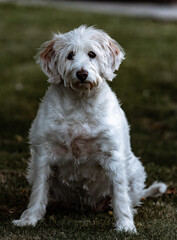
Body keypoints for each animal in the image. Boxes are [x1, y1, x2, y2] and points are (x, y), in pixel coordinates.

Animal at [13, 25, 167, 232]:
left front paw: (125, 225)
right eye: (70, 55)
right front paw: (29, 219)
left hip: (135, 169)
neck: (80, 102)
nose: (82, 74)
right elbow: (38, 190)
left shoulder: (113, 154)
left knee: (131, 198)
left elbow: (120, 194)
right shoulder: (43, 154)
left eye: (92, 54)